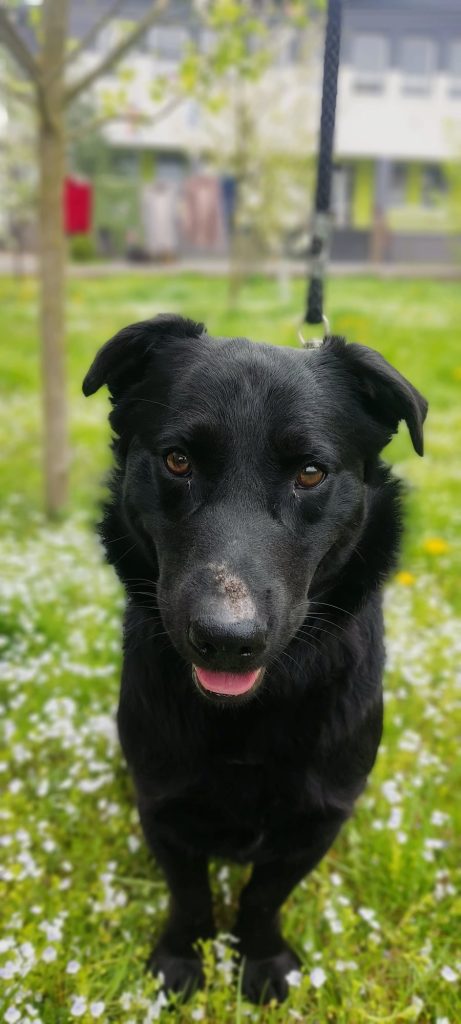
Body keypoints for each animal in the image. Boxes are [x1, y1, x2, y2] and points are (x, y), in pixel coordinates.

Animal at [83, 314, 427, 1003]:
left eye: (312, 473)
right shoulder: (162, 802)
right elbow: (189, 894)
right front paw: (182, 959)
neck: (248, 713)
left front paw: (261, 961)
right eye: (178, 460)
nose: (226, 638)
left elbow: (264, 897)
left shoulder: (318, 818)